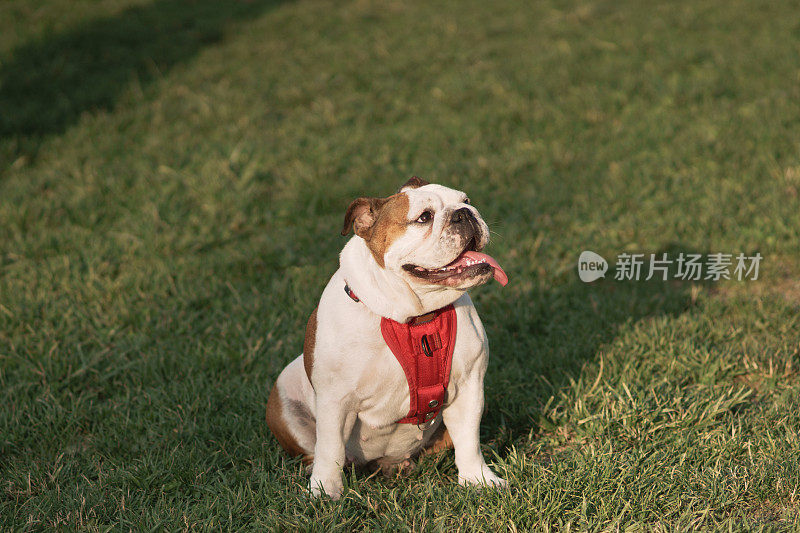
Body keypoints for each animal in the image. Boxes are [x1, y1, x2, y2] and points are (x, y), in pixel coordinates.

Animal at [268, 177, 506, 496]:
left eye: (466, 200)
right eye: (424, 217)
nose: (464, 213)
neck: (414, 318)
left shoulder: (470, 386)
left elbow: (469, 440)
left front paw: (479, 479)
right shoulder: (335, 400)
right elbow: (330, 449)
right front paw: (325, 491)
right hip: (284, 399)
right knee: (315, 449)